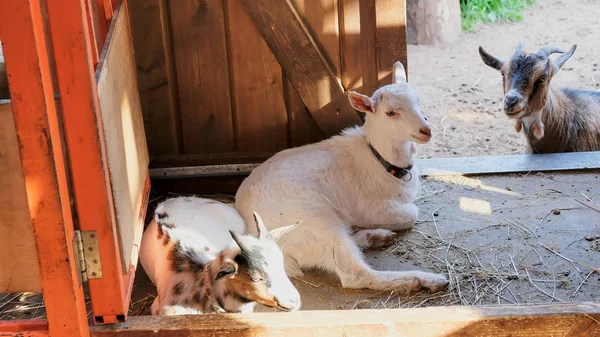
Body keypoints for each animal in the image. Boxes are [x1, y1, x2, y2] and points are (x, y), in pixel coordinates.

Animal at [234, 62, 450, 292]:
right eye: (390, 113)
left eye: (418, 101)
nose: (426, 130)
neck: (380, 160)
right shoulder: (370, 208)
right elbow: (411, 214)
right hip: (313, 220)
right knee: (354, 273)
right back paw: (423, 280)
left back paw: (373, 237)